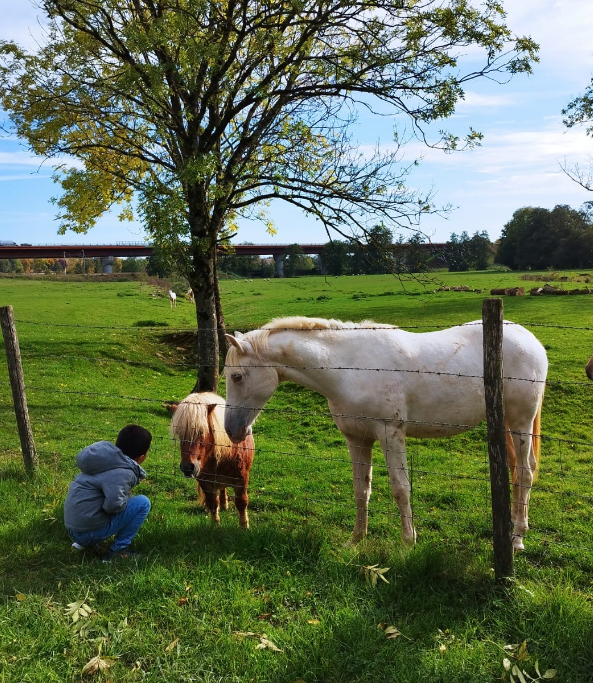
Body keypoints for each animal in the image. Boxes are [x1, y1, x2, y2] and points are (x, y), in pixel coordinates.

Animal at [171, 390, 254, 528]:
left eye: (201, 431)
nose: (187, 468)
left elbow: (241, 502)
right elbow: (213, 503)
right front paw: (215, 525)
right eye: (179, 433)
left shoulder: (241, 480)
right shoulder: (206, 483)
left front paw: (244, 526)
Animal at [223, 316, 544, 552]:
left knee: (526, 472)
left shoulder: (391, 434)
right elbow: (361, 490)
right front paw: (356, 539)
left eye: (237, 376)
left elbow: (401, 489)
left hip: (521, 422)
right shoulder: (357, 439)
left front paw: (408, 542)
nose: (232, 431)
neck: (349, 369)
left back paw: (518, 538)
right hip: (506, 424)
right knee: (519, 472)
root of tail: (531, 340)